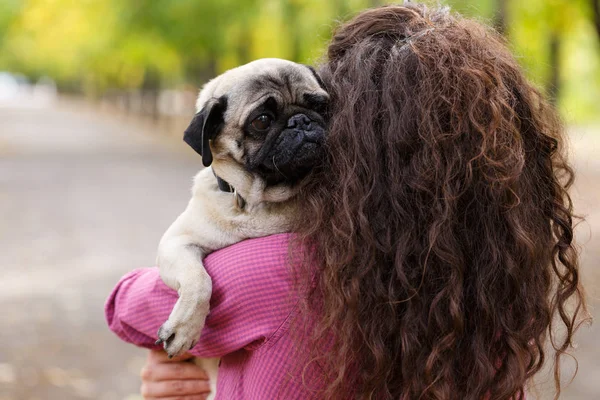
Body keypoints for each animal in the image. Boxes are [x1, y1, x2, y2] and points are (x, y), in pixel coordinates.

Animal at [152, 58, 326, 362]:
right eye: (262, 120)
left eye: (320, 106)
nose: (301, 120)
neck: (256, 202)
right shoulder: (176, 243)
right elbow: (199, 280)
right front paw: (184, 328)